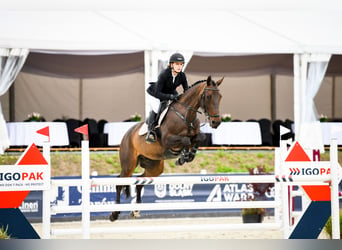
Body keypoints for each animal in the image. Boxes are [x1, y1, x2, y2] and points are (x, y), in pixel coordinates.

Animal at [109, 74, 224, 221]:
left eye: (220, 96)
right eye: (208, 96)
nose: (216, 122)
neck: (186, 115)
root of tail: (127, 134)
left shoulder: (196, 136)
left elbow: (199, 138)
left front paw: (188, 156)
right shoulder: (167, 140)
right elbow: (186, 140)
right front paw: (183, 156)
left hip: (154, 166)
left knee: (140, 181)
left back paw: (135, 211)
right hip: (129, 163)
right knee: (120, 181)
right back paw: (114, 214)